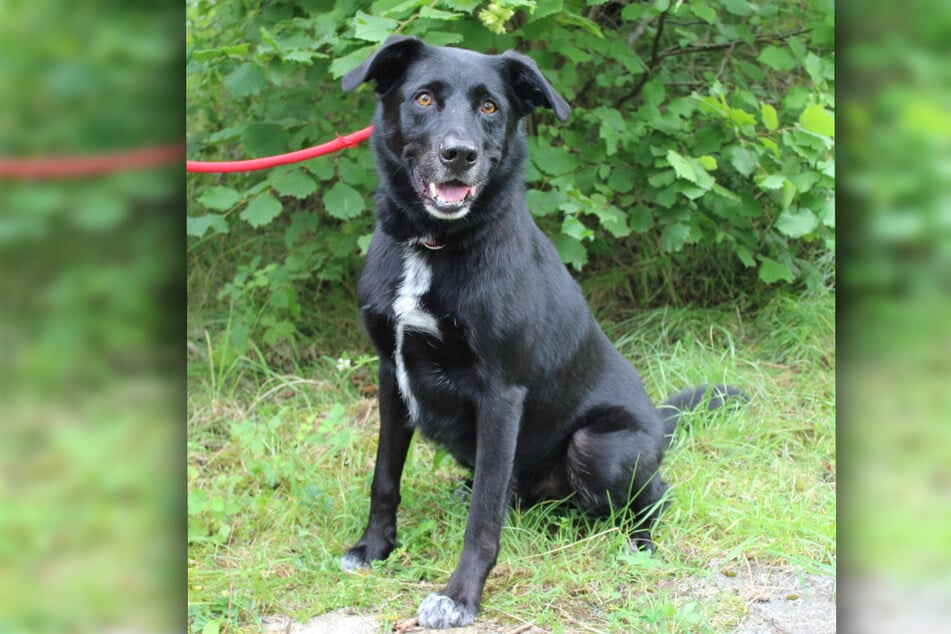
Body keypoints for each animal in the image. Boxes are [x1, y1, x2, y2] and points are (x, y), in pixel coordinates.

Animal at [338, 37, 740, 624]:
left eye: (490, 107)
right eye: (423, 97)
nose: (460, 154)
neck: (433, 246)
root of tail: (659, 425)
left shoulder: (502, 393)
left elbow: (483, 520)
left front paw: (459, 596)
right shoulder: (392, 374)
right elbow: (384, 478)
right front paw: (374, 549)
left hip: (599, 446)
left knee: (655, 495)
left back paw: (639, 544)